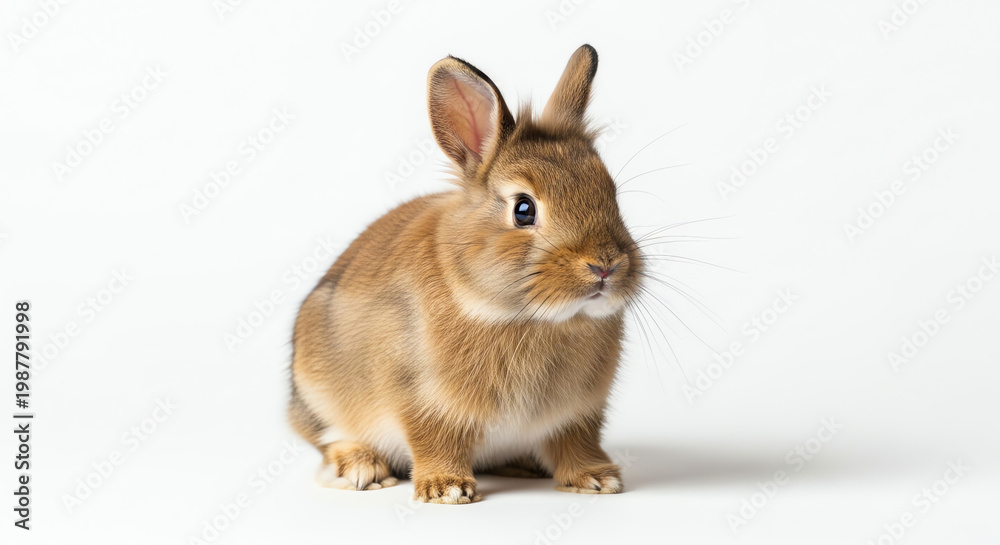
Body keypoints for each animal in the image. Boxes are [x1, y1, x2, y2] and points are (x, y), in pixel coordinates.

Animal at [289, 44, 643, 504]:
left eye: (610, 193)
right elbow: (434, 440)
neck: (526, 317)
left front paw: (597, 479)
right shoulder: (422, 401)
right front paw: (447, 489)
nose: (605, 264)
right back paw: (363, 470)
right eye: (523, 209)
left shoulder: (579, 414)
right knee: (329, 439)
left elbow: (577, 443)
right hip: (318, 393)